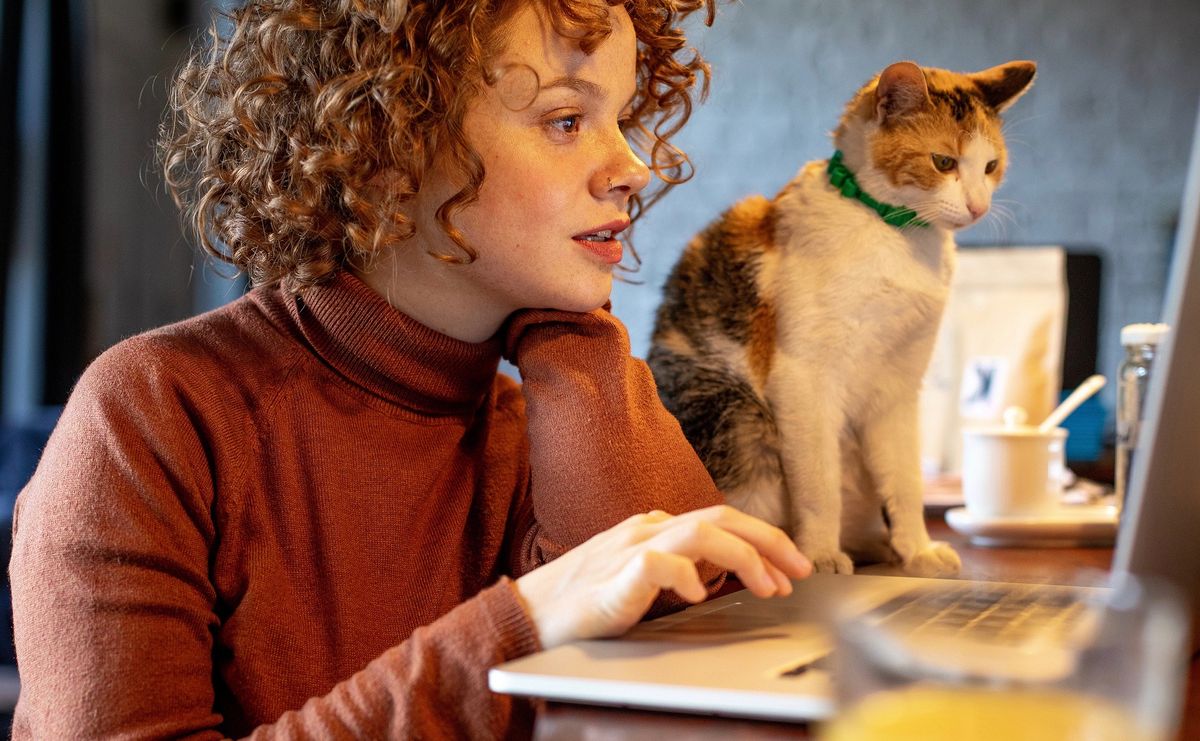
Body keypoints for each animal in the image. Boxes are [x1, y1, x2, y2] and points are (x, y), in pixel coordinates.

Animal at [652, 60, 1036, 573]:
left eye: (991, 166)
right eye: (944, 163)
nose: (978, 207)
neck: (897, 236)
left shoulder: (899, 386)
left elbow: (907, 480)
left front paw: (917, 550)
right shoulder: (803, 379)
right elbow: (818, 483)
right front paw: (818, 554)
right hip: (738, 416)